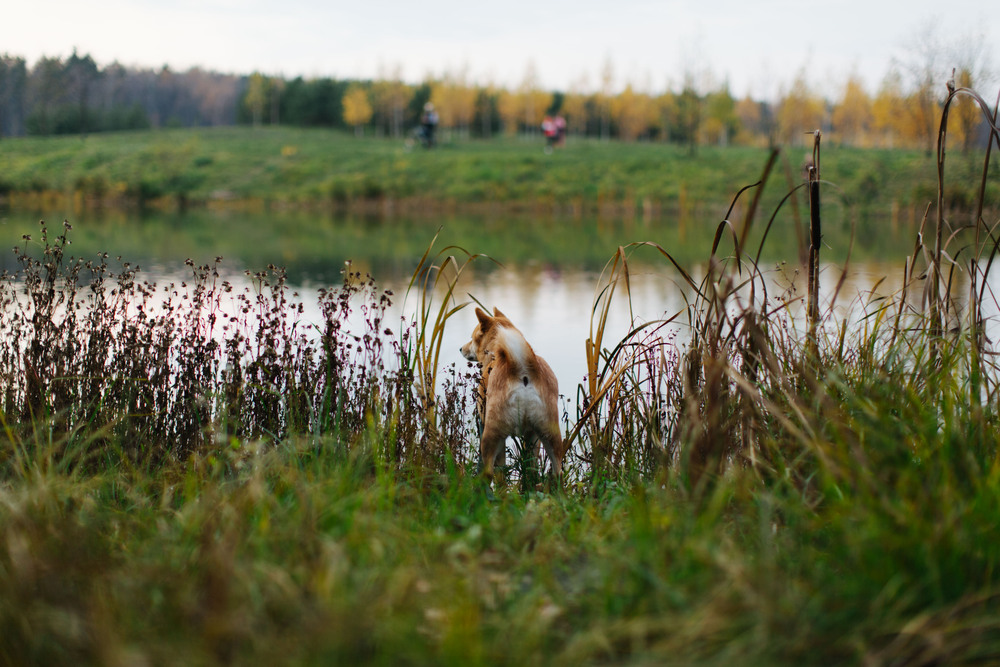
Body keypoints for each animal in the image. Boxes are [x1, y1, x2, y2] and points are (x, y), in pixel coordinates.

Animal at [458, 306, 564, 486]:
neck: (495, 353)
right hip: (550, 435)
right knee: (557, 473)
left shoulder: (490, 430)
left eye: (471, 338)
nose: (460, 348)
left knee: (489, 473)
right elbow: (530, 466)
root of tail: (522, 370)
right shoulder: (532, 437)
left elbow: (500, 473)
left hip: (492, 435)